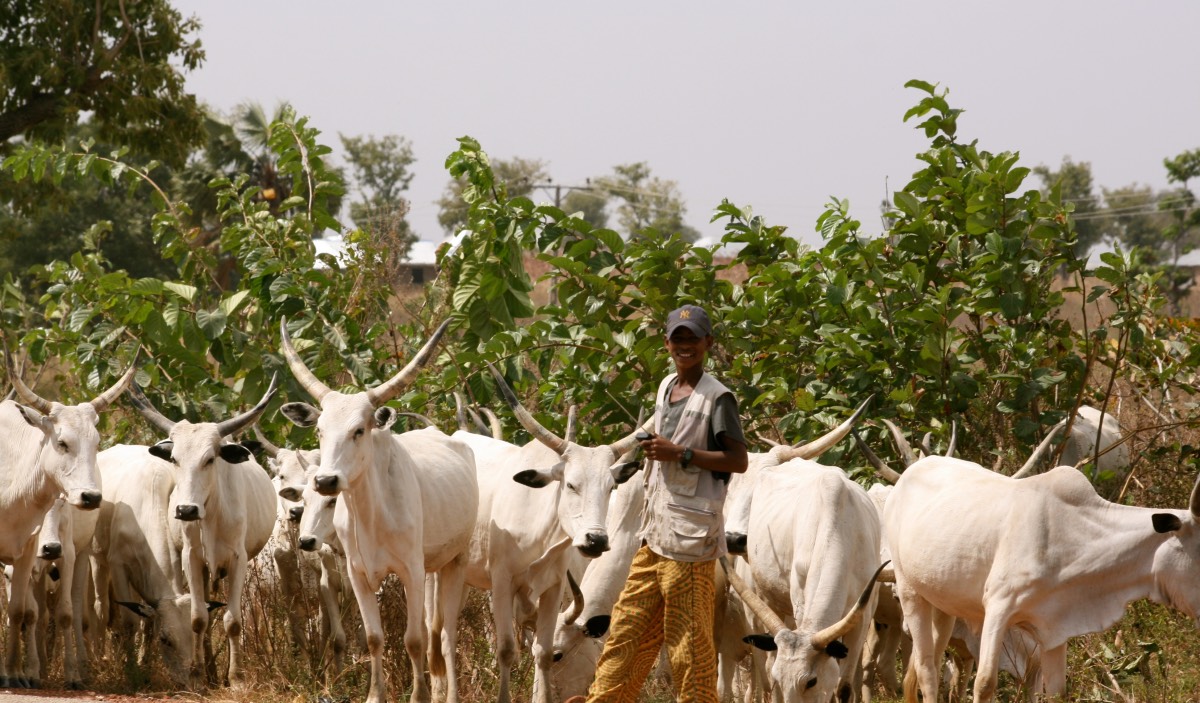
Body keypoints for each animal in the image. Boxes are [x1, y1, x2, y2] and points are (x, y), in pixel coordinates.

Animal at [0, 345, 136, 686]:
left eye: (96, 443)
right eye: (62, 442)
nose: (91, 497)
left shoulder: (29, 552)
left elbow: (19, 611)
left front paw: (14, 674)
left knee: (71, 610)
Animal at [125, 374, 277, 681]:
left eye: (210, 459)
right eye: (174, 459)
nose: (186, 510)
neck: (211, 515)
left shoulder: (239, 560)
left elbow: (232, 621)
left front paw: (236, 677)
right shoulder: (192, 558)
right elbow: (198, 619)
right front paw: (197, 671)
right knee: (205, 613)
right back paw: (209, 670)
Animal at [883, 453, 1200, 700]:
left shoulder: (1056, 628)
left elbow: (1057, 691)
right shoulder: (998, 607)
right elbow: (985, 683)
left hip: (943, 607)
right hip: (909, 591)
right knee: (927, 670)